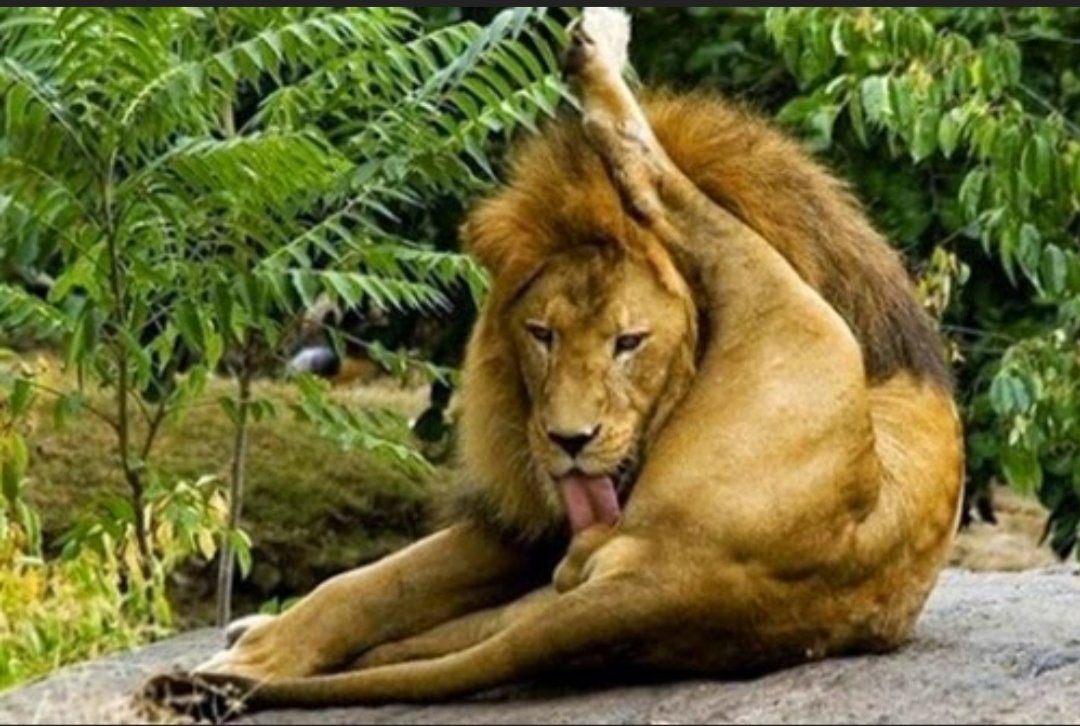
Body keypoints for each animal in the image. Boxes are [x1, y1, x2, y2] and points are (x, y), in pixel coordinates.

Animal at [145, 8, 963, 718]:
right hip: (560, 586)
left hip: (792, 308)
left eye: (629, 343)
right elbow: (378, 581)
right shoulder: (529, 530)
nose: (568, 442)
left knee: (645, 167)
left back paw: (598, 45)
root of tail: (674, 576)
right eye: (540, 335)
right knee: (424, 642)